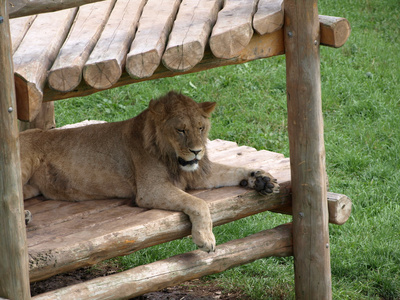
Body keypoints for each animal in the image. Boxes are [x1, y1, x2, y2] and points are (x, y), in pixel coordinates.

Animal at [20, 91, 280, 251]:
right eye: (180, 130)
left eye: (201, 127)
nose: (197, 151)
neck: (172, 157)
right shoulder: (151, 190)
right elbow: (198, 203)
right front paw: (205, 239)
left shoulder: (198, 173)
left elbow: (232, 170)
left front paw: (261, 179)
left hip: (31, 188)